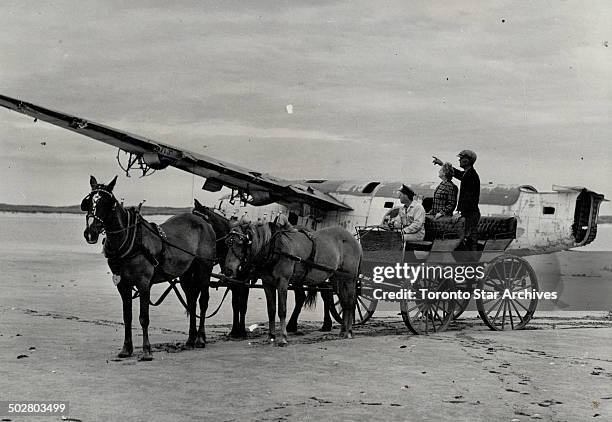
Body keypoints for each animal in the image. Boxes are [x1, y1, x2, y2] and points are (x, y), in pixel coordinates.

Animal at [81, 175, 215, 360]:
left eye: (107, 203)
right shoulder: (123, 285)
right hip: (186, 274)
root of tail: (204, 221)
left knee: (202, 302)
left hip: (204, 270)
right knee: (191, 301)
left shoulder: (144, 284)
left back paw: (201, 338)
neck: (131, 240)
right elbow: (127, 316)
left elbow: (144, 317)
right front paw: (126, 349)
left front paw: (146, 351)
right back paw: (190, 339)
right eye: (88, 202)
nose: (90, 233)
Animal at [225, 223, 360, 344]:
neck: (274, 248)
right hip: (338, 278)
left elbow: (282, 310)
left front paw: (283, 338)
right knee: (344, 303)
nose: (228, 270)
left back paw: (349, 331)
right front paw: (271, 336)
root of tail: (352, 238)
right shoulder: (267, 284)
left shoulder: (283, 282)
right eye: (227, 243)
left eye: (240, 243)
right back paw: (343, 331)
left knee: (350, 302)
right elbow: (271, 310)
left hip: (350, 279)